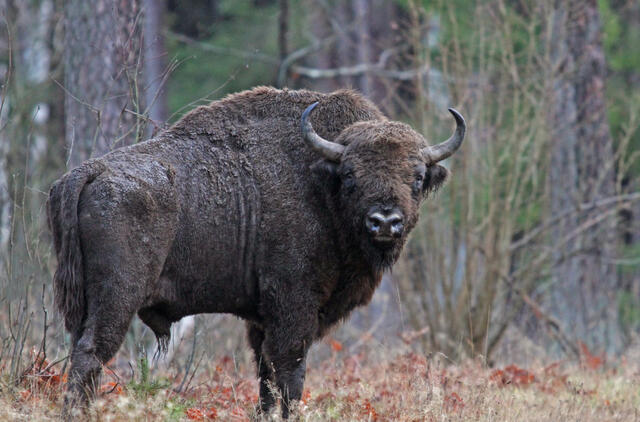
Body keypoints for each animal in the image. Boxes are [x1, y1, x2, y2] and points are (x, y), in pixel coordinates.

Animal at [46, 86, 464, 418]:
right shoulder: (293, 307)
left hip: (84, 301)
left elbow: (266, 378)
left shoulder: (261, 319)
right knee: (92, 352)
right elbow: (290, 375)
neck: (320, 183)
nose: (384, 222)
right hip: (117, 297)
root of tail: (88, 171)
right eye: (350, 176)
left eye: (417, 177)